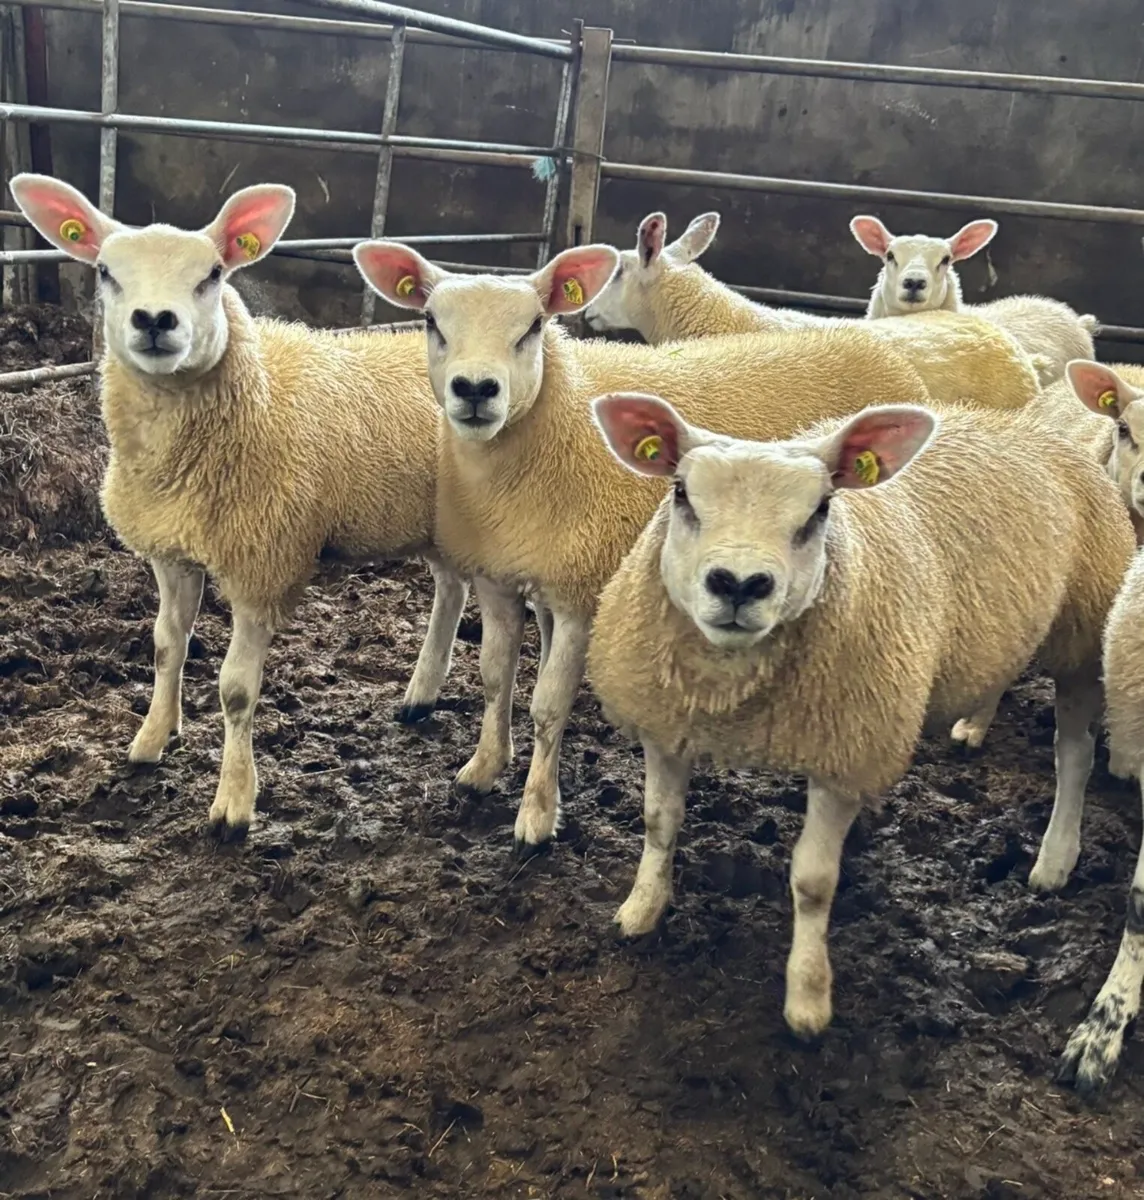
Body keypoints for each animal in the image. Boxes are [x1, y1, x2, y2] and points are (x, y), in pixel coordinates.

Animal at [11, 172, 470, 838]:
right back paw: (421, 695)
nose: (155, 320)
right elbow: (165, 645)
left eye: (212, 274)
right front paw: (151, 738)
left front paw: (233, 802)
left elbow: (233, 690)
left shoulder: (261, 565)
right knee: (451, 590)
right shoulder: (170, 552)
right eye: (105, 271)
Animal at [354, 236, 946, 852]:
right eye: (431, 321)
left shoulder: (581, 597)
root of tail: (875, 342)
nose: (475, 389)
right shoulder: (497, 577)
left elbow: (547, 707)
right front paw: (484, 768)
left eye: (534, 325)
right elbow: (495, 678)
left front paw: (537, 814)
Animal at [584, 391, 1134, 1038]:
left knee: (1074, 754)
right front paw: (641, 910)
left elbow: (812, 881)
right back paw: (975, 726)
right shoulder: (668, 724)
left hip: (1083, 637)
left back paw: (1055, 858)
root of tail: (1022, 425)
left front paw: (807, 997)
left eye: (821, 509)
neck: (734, 696)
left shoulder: (842, 753)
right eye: (681, 494)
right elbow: (658, 822)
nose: (740, 584)